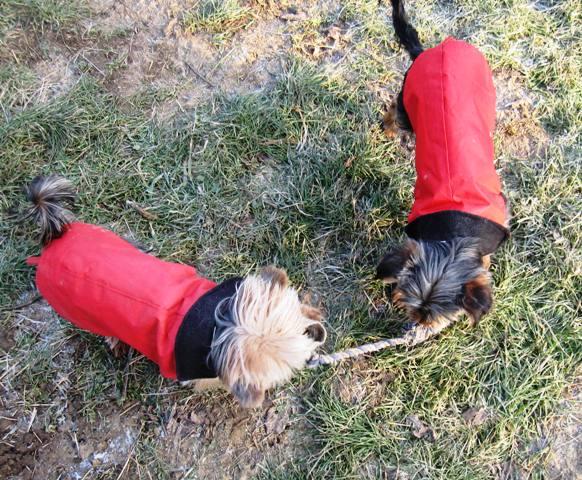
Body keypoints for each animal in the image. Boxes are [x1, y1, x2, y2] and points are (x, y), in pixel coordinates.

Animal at [377, 0, 509, 330]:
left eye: (432, 316)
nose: (418, 323)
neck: (456, 237)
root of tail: (438, 49)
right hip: (407, 101)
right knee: (395, 112)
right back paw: (389, 130)